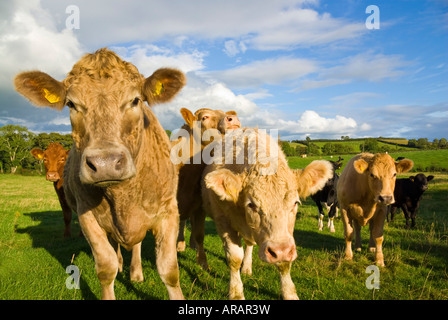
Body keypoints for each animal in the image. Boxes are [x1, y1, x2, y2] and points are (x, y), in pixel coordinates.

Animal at [14, 47, 186, 300]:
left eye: (135, 100)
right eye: (71, 104)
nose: (105, 163)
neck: (123, 196)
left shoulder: (169, 211)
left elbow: (169, 270)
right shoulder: (86, 215)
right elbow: (106, 268)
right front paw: (115, 268)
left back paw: (135, 272)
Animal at [174, 107, 242, 270]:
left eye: (225, 112)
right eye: (205, 117)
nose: (233, 119)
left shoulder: (199, 207)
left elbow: (200, 234)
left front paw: (203, 262)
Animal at [201, 128, 330, 300]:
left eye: (295, 203)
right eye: (251, 204)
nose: (279, 250)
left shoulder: (285, 239)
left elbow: (284, 263)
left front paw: (289, 293)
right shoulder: (223, 222)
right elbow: (234, 259)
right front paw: (236, 293)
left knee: (249, 244)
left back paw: (247, 267)